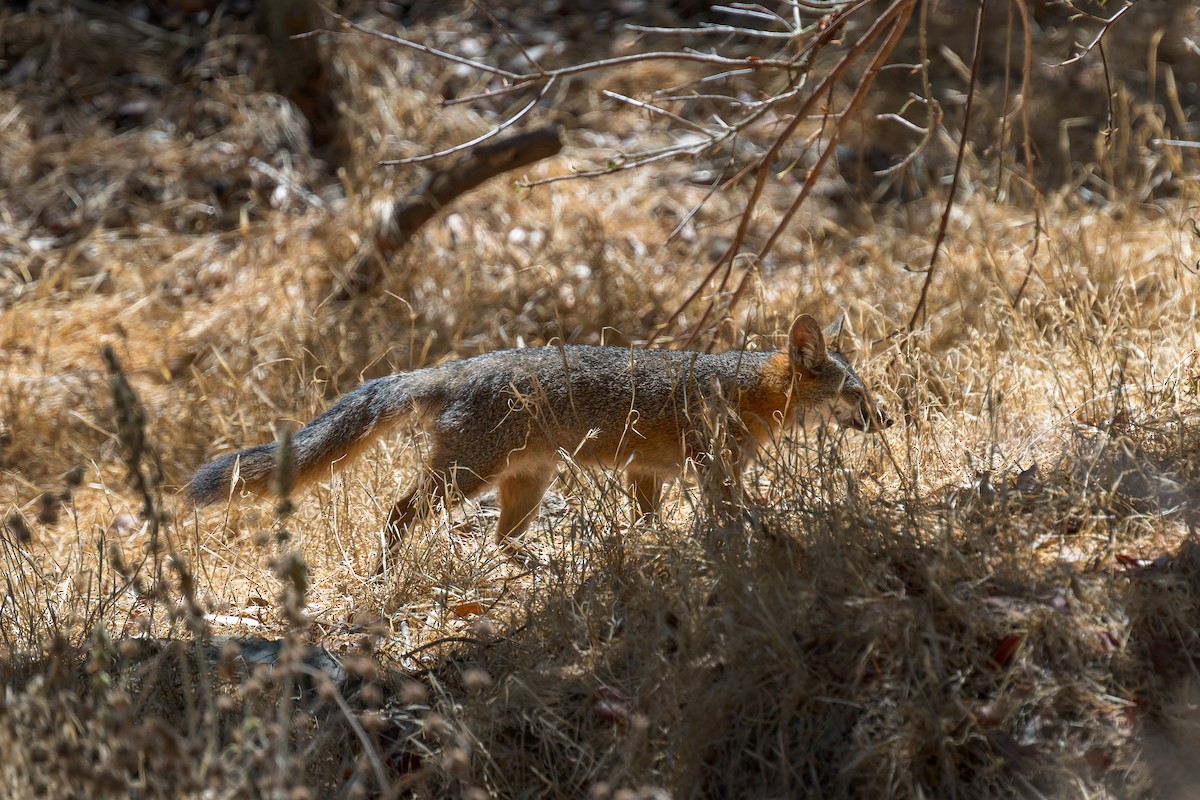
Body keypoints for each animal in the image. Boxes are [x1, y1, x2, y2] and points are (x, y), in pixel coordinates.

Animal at [186, 314, 892, 565]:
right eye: (858, 395)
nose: (889, 420)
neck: (748, 387)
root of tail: (459, 367)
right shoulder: (715, 470)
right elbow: (736, 516)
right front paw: (757, 540)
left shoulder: (647, 473)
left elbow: (652, 519)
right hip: (462, 480)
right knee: (397, 512)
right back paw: (385, 570)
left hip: (525, 485)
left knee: (499, 539)